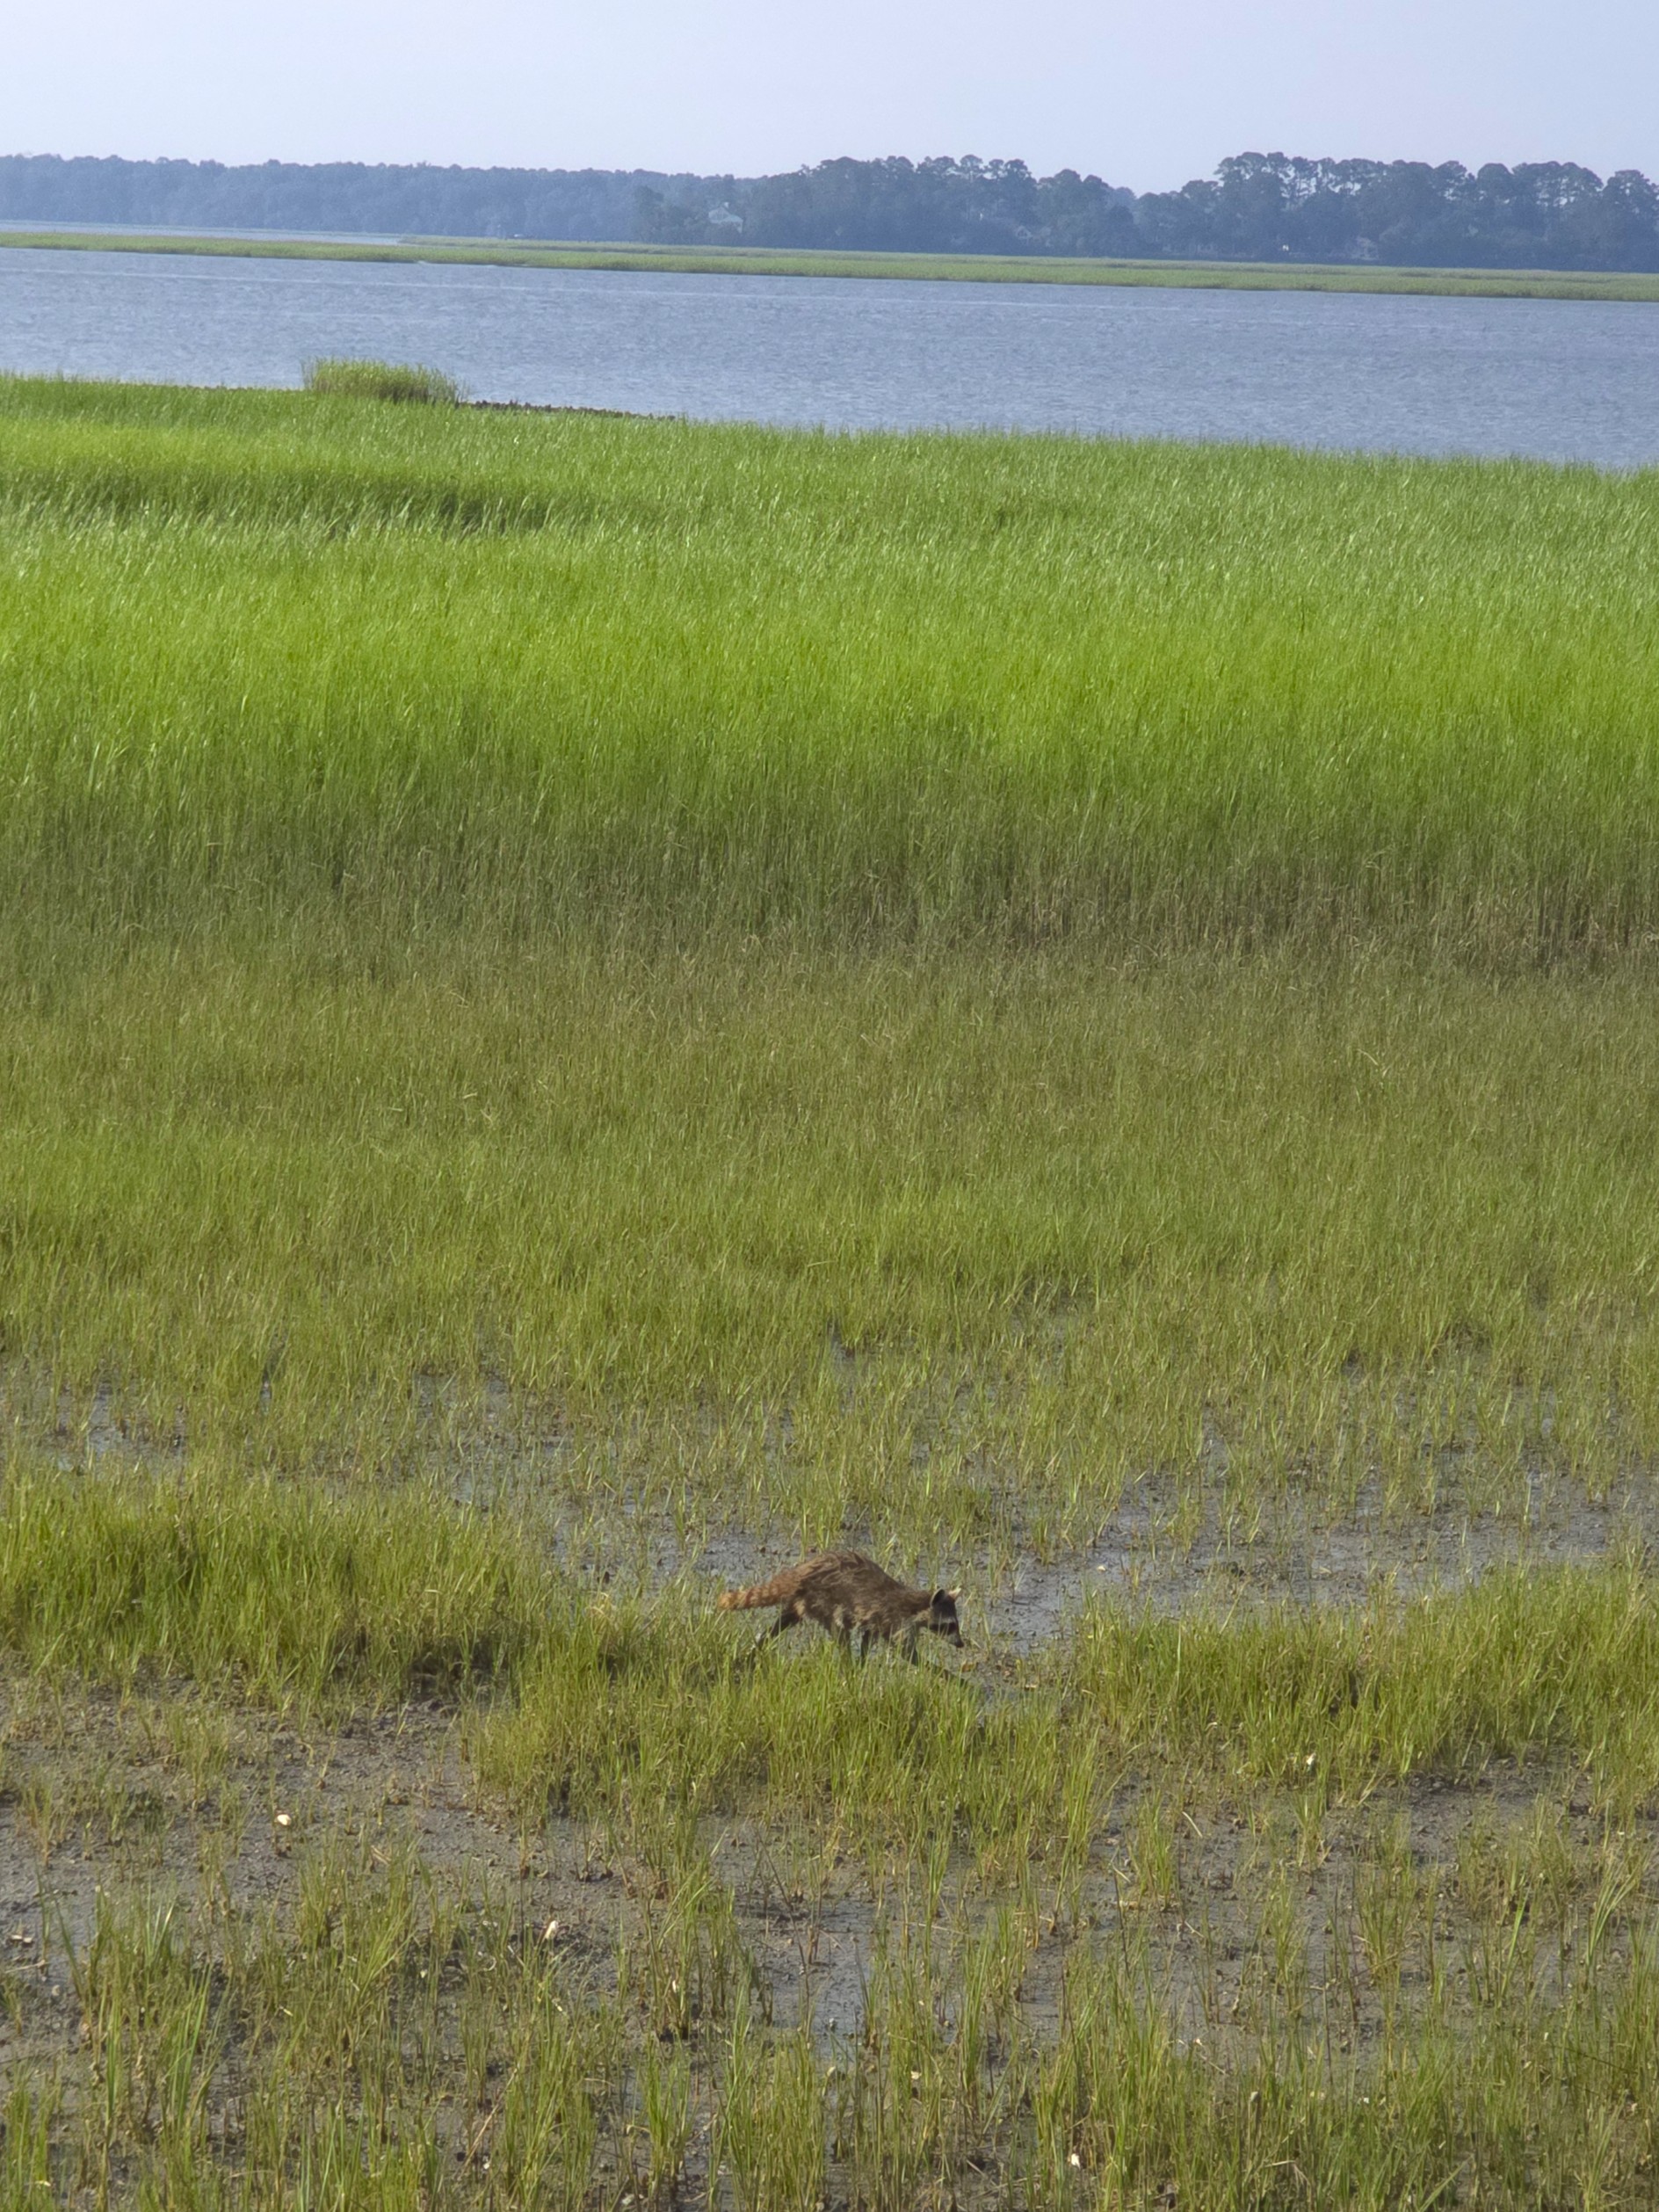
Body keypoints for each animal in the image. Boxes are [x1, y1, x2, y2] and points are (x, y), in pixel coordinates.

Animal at [718, 1552, 962, 1661]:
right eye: (949, 1626)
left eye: (956, 1624)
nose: (961, 1644)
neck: (915, 1605)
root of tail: (804, 1570)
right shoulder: (894, 1619)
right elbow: (907, 1655)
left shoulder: (877, 1622)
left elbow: (868, 1639)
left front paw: (861, 1665)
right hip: (824, 1599)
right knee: (839, 1630)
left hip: (803, 1600)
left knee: (783, 1621)